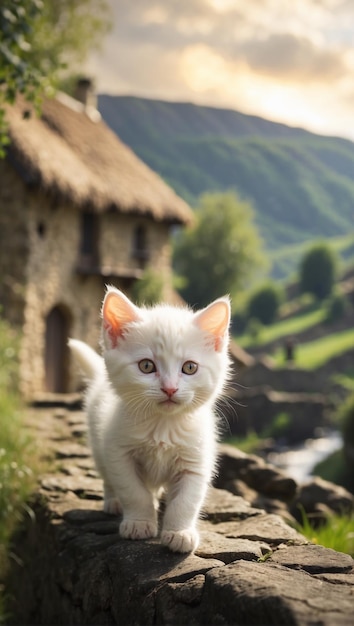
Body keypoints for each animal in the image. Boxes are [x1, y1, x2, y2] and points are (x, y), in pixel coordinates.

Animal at [68, 286, 232, 548]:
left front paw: (179, 532)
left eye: (190, 368)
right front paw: (139, 523)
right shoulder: (118, 453)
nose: (170, 388)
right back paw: (114, 502)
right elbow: (134, 492)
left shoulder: (196, 458)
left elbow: (186, 500)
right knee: (108, 477)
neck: (162, 426)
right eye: (146, 366)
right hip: (98, 445)